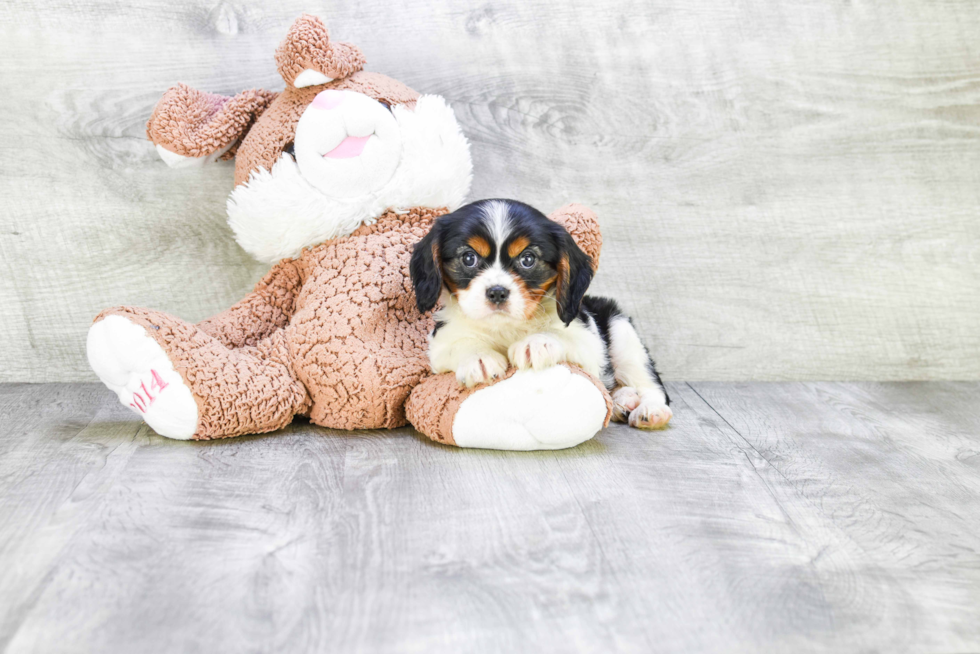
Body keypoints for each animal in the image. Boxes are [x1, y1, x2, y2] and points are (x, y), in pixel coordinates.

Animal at [408, 200, 672, 436]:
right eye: (468, 258)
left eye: (527, 259)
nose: (497, 292)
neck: (508, 326)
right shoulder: (441, 343)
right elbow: (462, 344)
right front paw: (479, 358)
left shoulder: (589, 343)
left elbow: (558, 334)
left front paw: (535, 343)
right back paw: (623, 401)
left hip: (623, 334)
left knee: (651, 384)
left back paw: (649, 409)